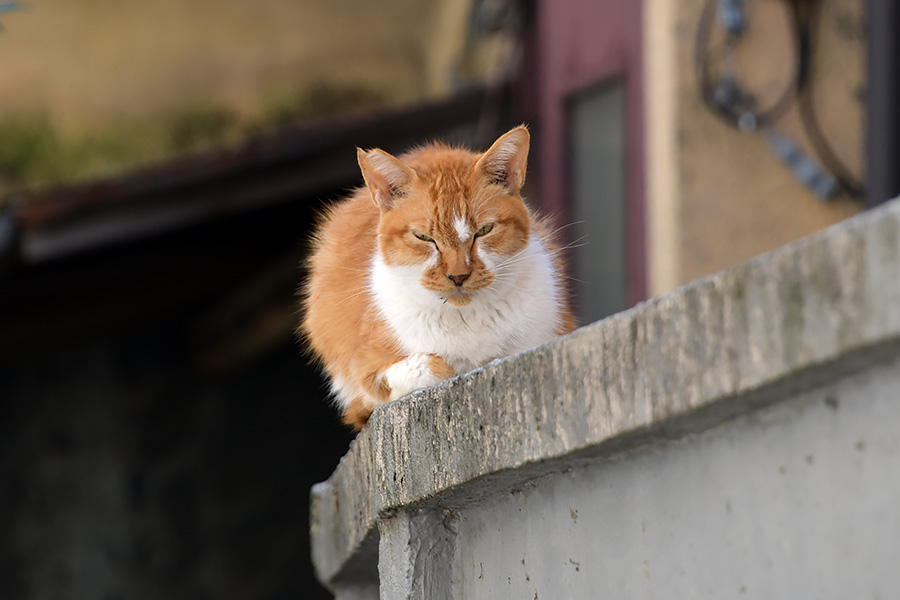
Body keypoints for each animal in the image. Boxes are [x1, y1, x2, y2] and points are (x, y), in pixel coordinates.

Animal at [298, 126, 572, 428]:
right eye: (423, 237)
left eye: (484, 231)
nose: (458, 276)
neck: (467, 321)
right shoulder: (367, 367)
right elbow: (430, 368)